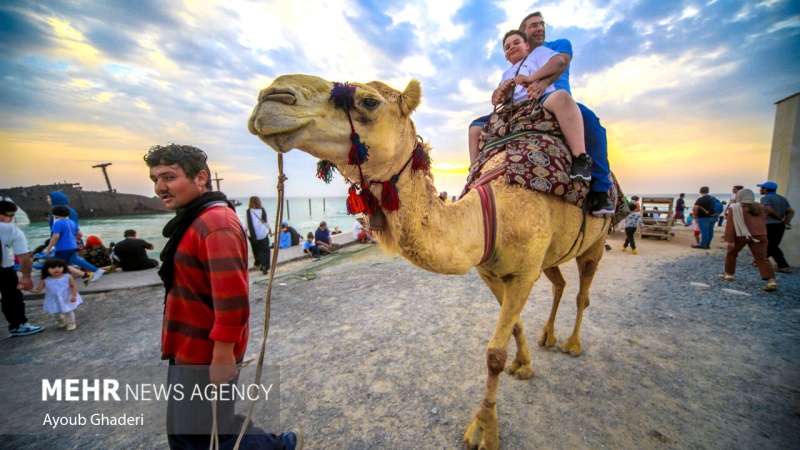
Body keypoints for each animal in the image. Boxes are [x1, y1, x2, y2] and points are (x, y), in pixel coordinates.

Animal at [250, 75, 612, 448]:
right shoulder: (489, 270)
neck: (489, 214)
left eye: (369, 101)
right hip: (553, 254)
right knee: (560, 284)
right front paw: (524, 366)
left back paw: (572, 344)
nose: (272, 96)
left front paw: (483, 431)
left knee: (582, 292)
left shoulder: (524, 272)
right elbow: (514, 327)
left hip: (597, 241)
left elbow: (494, 354)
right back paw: (548, 337)